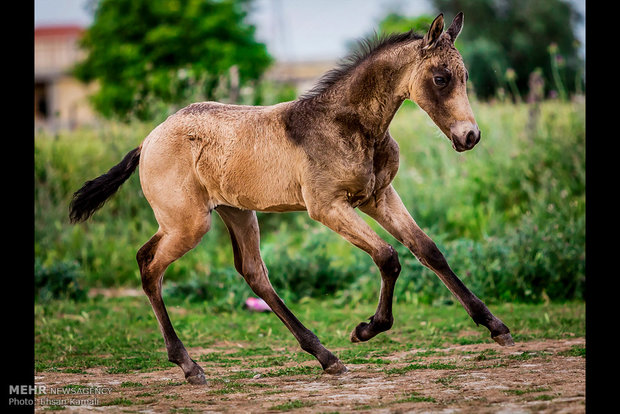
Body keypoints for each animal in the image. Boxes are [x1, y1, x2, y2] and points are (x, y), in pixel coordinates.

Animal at [69, 13, 512, 388]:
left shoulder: (380, 197)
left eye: (464, 76)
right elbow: (388, 256)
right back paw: (189, 365)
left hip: (238, 212)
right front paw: (366, 329)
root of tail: (147, 141)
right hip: (188, 223)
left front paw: (495, 326)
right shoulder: (328, 207)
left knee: (253, 273)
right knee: (149, 265)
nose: (470, 136)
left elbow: (428, 250)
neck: (347, 125)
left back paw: (325, 356)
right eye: (440, 78)